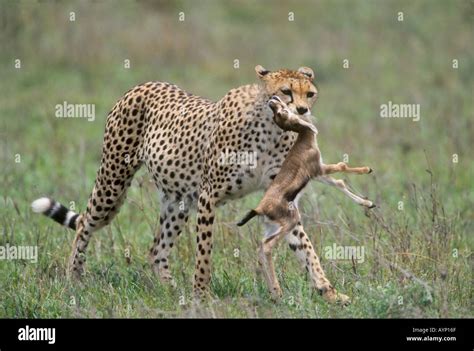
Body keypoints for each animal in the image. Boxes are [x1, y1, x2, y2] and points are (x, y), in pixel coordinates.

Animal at [31, 65, 346, 302]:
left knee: (157, 250)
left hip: (177, 200)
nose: (302, 110)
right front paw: (202, 296)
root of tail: (143, 84)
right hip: (113, 181)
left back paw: (170, 291)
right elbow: (204, 253)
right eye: (286, 91)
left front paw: (329, 292)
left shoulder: (279, 197)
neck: (271, 129)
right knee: (85, 223)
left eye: (310, 94)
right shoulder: (209, 196)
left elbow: (305, 247)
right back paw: (74, 278)